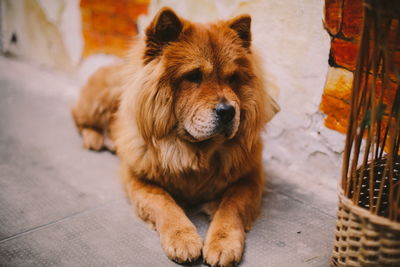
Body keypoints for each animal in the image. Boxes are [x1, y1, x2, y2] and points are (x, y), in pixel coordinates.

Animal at [72, 7, 278, 266]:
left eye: (232, 78)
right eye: (194, 76)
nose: (228, 111)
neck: (196, 151)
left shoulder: (249, 177)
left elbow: (231, 207)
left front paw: (223, 244)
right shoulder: (138, 178)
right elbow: (164, 203)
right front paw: (183, 239)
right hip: (98, 100)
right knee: (77, 117)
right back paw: (95, 139)